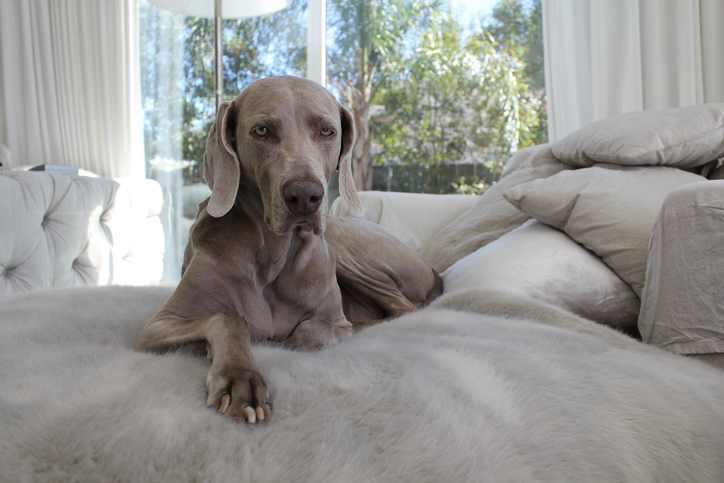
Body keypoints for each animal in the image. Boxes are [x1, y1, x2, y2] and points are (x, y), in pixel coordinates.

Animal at [136, 75, 442, 424]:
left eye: (327, 131)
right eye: (261, 130)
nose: (305, 196)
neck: (272, 251)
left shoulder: (331, 319)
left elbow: (307, 335)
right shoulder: (160, 323)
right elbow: (226, 317)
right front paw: (239, 377)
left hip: (345, 250)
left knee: (403, 308)